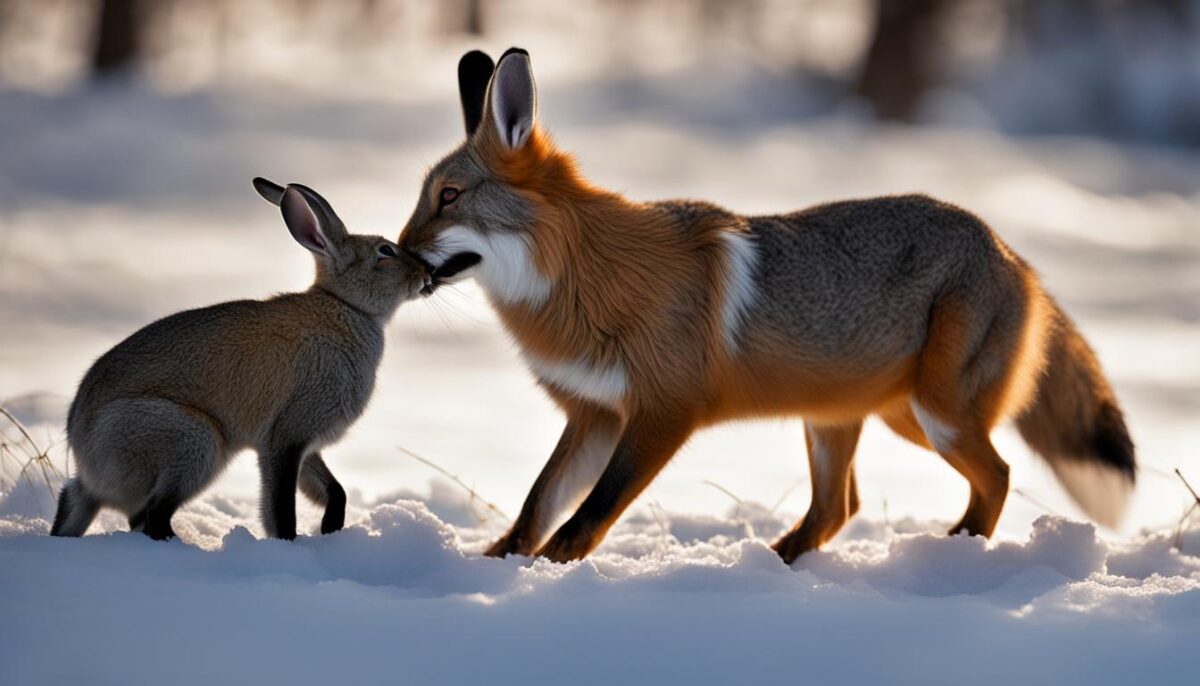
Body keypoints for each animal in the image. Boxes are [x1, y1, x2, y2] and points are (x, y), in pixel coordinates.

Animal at [50, 178, 431, 541]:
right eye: (385, 251)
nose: (426, 275)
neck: (346, 306)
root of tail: (85, 454)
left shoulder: (305, 444)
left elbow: (334, 490)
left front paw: (330, 529)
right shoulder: (286, 438)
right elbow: (280, 505)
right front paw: (289, 544)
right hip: (194, 440)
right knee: (153, 515)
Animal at [398, 48, 1136, 564]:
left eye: (449, 197)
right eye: (425, 198)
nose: (394, 254)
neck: (589, 276)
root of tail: (1011, 251)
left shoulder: (662, 414)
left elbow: (584, 520)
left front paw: (543, 579)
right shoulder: (596, 415)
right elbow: (536, 508)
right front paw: (495, 570)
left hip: (937, 416)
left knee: (998, 477)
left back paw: (955, 557)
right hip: (853, 419)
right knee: (838, 509)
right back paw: (778, 565)